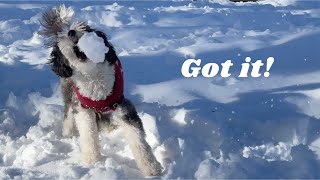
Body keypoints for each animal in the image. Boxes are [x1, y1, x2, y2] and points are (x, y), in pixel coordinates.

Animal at [39, 5, 162, 176]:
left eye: (87, 28)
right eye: (64, 37)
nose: (71, 32)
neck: (94, 77)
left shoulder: (123, 108)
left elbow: (139, 141)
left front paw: (151, 167)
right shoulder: (83, 109)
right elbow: (88, 134)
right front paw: (92, 160)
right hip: (69, 93)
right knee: (68, 113)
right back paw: (68, 133)